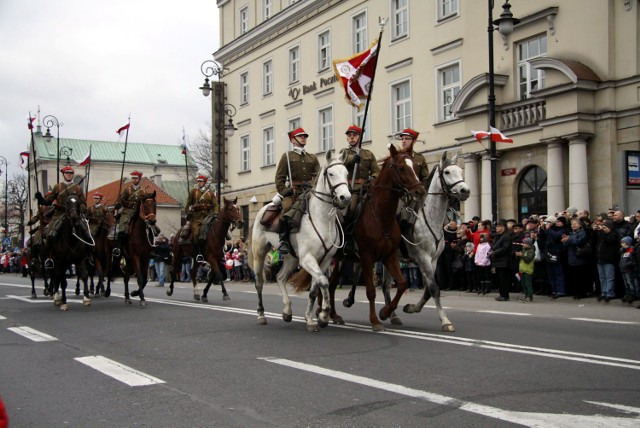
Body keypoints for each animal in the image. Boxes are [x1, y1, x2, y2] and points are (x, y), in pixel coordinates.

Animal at [249, 150, 350, 332]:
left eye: (346, 173)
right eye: (331, 174)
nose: (345, 197)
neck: (322, 219)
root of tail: (263, 209)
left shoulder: (324, 260)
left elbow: (315, 289)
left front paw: (312, 319)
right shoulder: (307, 259)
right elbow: (324, 282)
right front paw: (323, 315)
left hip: (291, 258)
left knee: (280, 277)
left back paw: (287, 311)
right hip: (260, 254)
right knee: (259, 282)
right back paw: (261, 315)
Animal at [306, 146, 424, 332]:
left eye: (414, 165)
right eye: (401, 168)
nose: (420, 191)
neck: (381, 216)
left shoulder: (390, 256)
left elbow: (402, 283)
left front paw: (385, 312)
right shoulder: (367, 257)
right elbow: (371, 291)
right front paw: (375, 320)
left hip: (340, 259)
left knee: (331, 284)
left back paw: (334, 315)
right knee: (323, 284)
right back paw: (321, 311)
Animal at [384, 150, 470, 332]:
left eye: (460, 170)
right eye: (447, 172)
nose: (465, 190)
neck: (430, 218)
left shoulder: (433, 260)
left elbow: (429, 290)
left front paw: (410, 308)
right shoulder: (423, 258)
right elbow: (434, 288)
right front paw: (445, 321)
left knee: (385, 285)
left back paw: (392, 315)